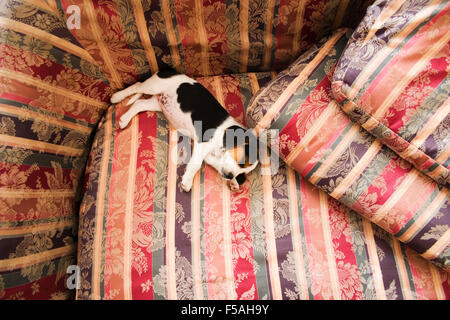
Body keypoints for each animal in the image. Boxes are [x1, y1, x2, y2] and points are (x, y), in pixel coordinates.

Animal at [110, 68, 258, 192]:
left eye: (243, 173)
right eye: (242, 162)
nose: (229, 176)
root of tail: (168, 69)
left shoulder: (211, 158)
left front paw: (234, 183)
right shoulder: (202, 142)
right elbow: (196, 164)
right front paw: (187, 182)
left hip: (156, 103)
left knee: (139, 104)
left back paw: (124, 119)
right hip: (153, 86)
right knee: (137, 86)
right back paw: (117, 96)